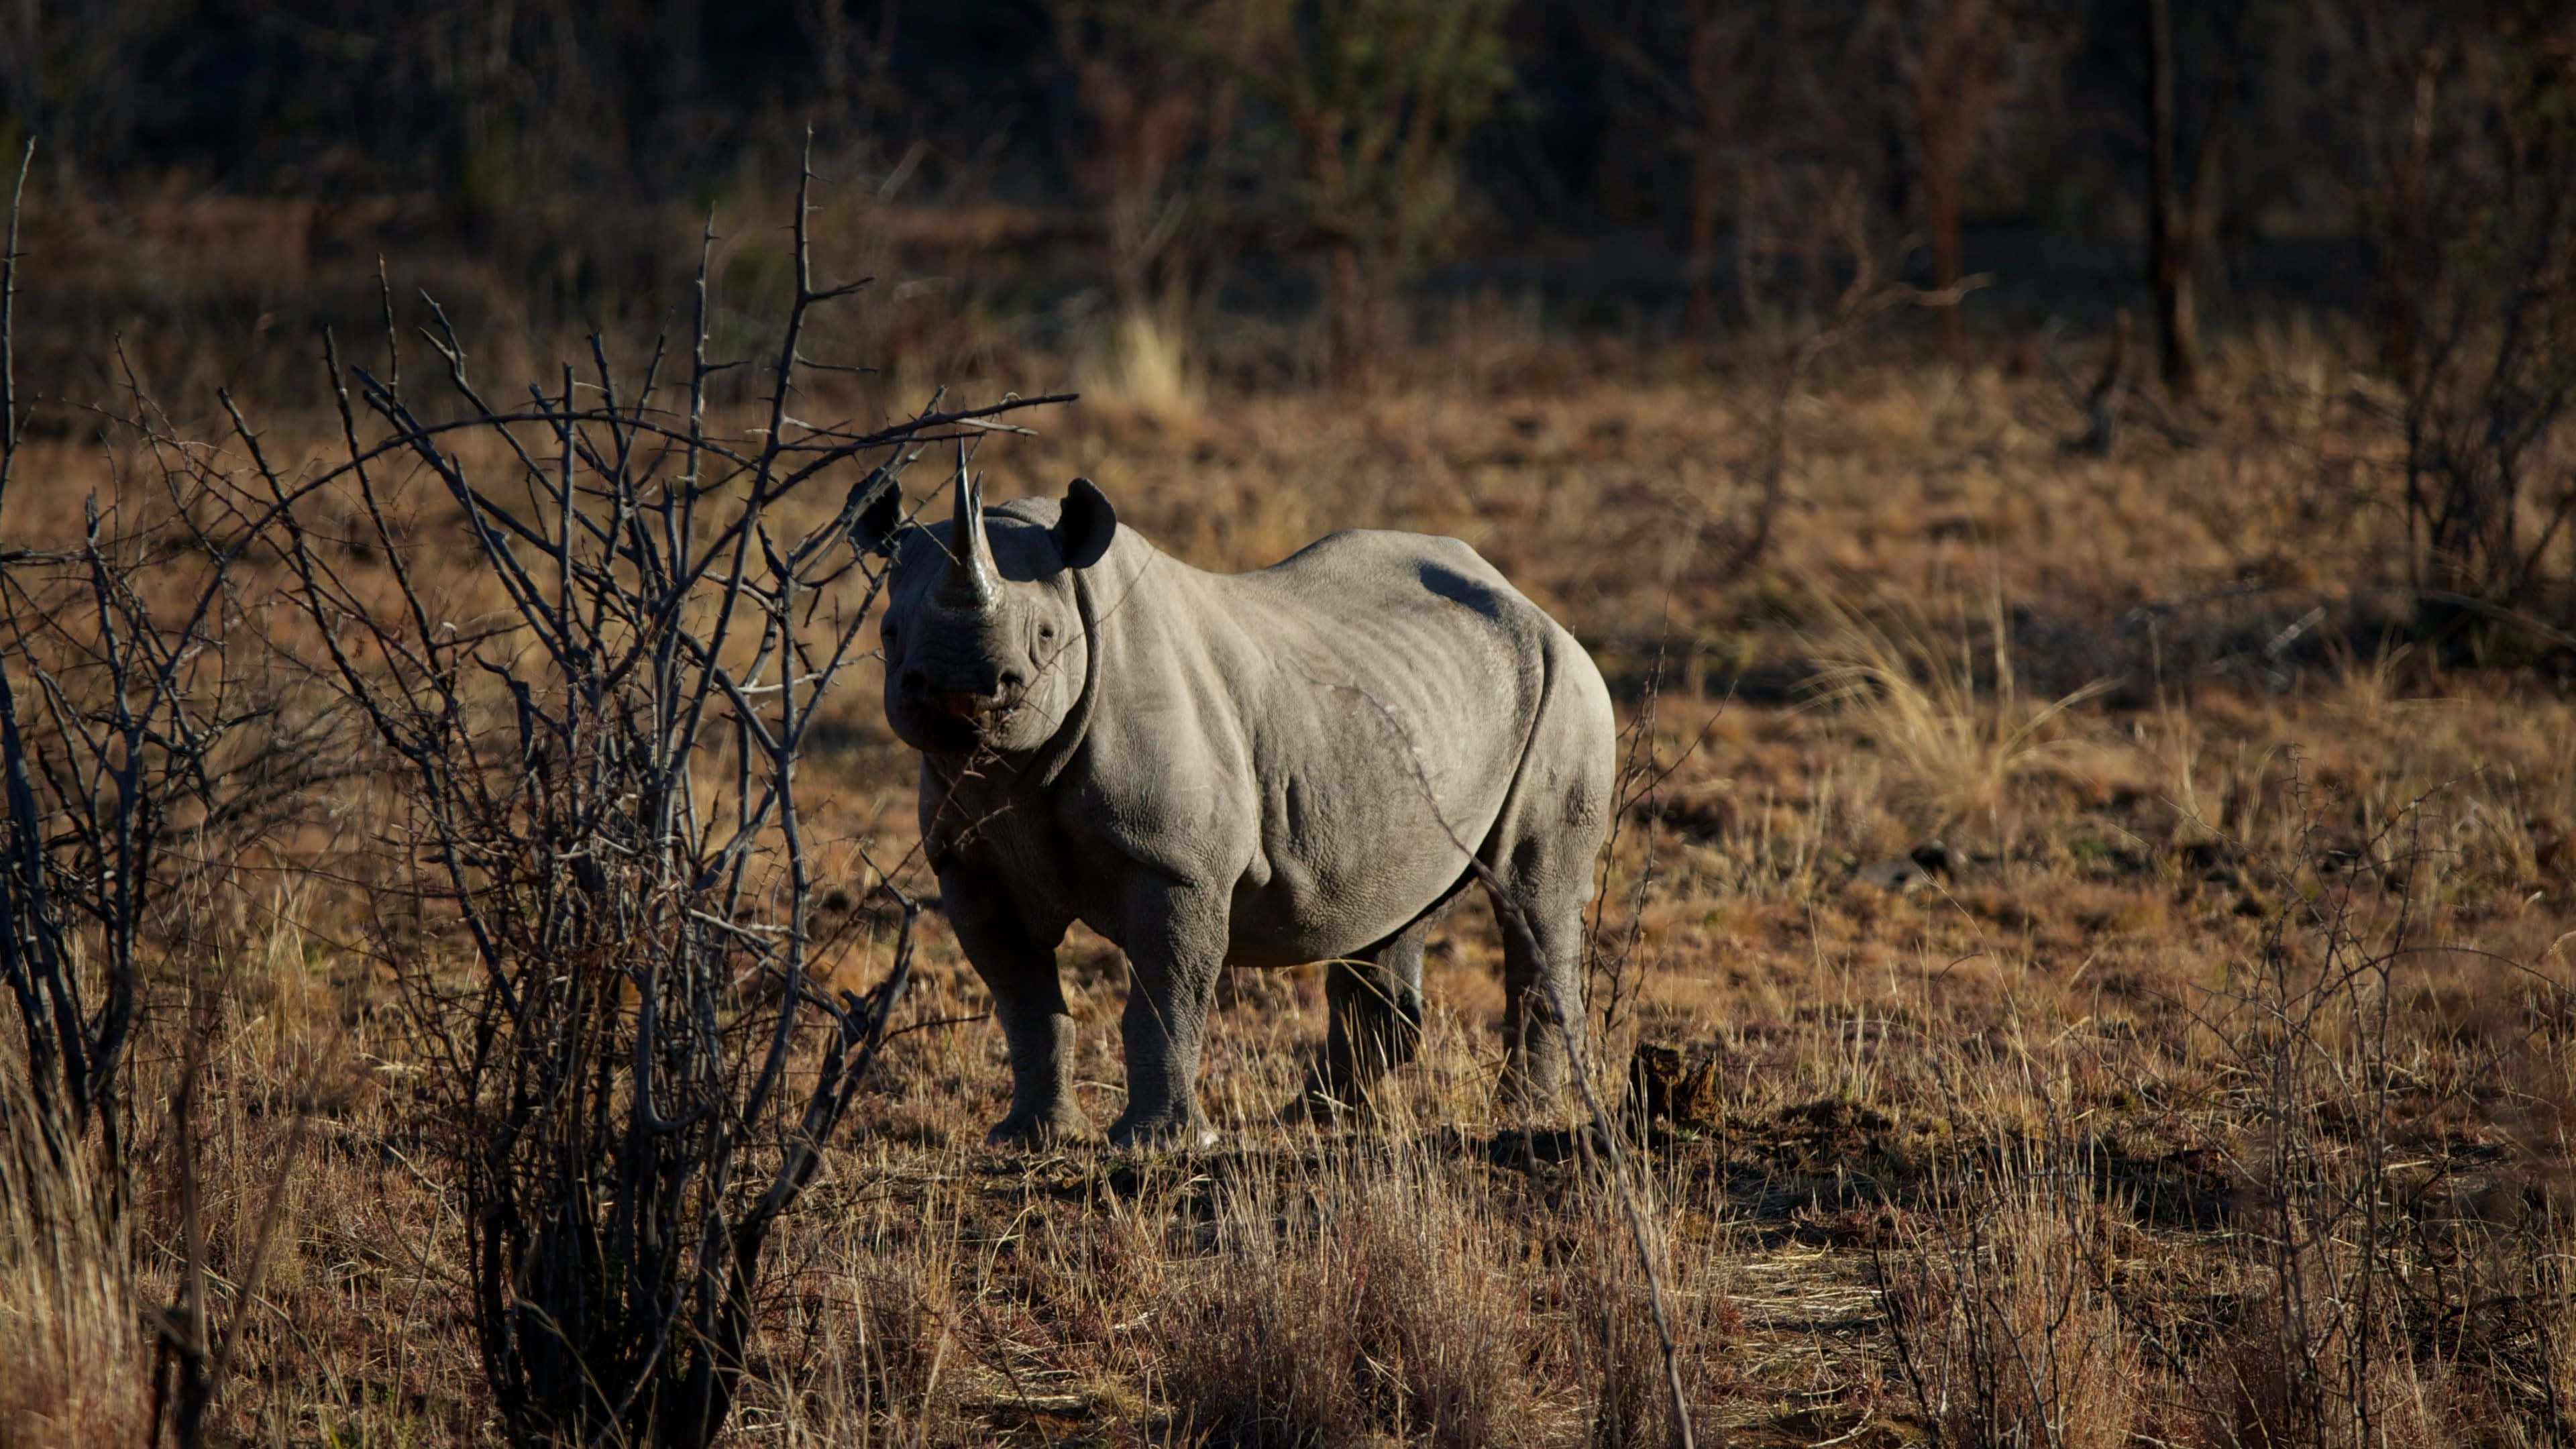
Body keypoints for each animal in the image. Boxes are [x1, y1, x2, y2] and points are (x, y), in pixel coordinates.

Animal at [853, 468, 1616, 1147]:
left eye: (1045, 637)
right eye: (888, 634)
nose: (959, 690)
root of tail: (1526, 599)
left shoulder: (1175, 864)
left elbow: (1165, 996)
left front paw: (1158, 1144)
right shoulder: (968, 862)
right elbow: (1024, 1001)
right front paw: (1031, 1138)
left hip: (1566, 682)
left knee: (1532, 897)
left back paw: (1525, 1115)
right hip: (1412, 703)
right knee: (1390, 908)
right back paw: (1315, 1118)